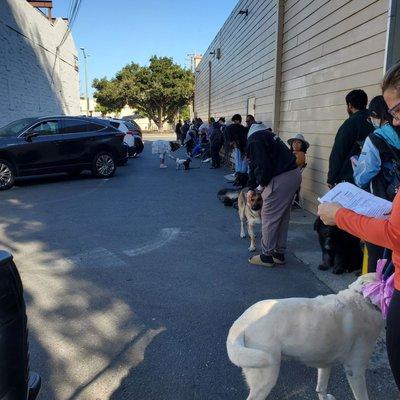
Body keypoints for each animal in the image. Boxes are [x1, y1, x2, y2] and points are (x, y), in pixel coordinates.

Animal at [227, 274, 382, 400]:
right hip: (265, 378)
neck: (362, 298)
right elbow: (362, 396)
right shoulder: (355, 370)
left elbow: (321, 388)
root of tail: (240, 323)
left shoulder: (325, 362)